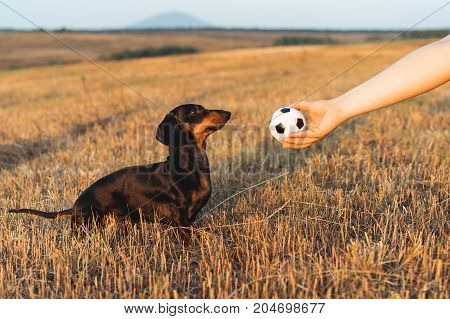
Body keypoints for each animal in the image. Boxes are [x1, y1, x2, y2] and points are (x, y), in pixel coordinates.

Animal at [9, 105, 232, 242]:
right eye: (195, 111)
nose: (228, 112)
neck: (188, 167)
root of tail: (75, 207)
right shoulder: (180, 219)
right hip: (88, 228)